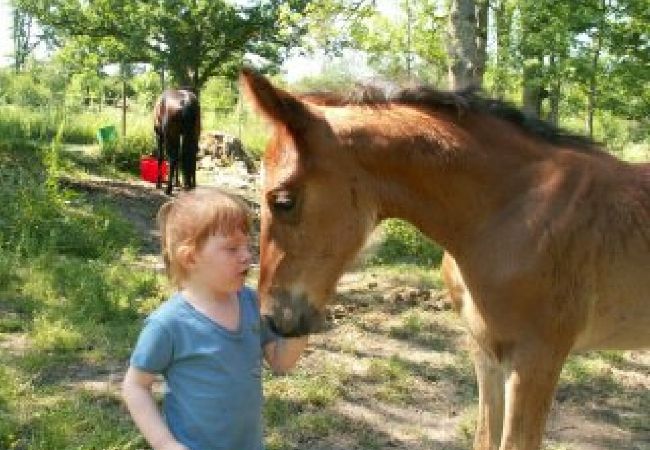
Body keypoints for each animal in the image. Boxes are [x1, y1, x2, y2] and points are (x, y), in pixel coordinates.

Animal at [239, 69, 648, 450]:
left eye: (283, 200)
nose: (273, 318)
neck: (509, 209)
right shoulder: (486, 352)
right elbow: (484, 439)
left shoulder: (537, 359)